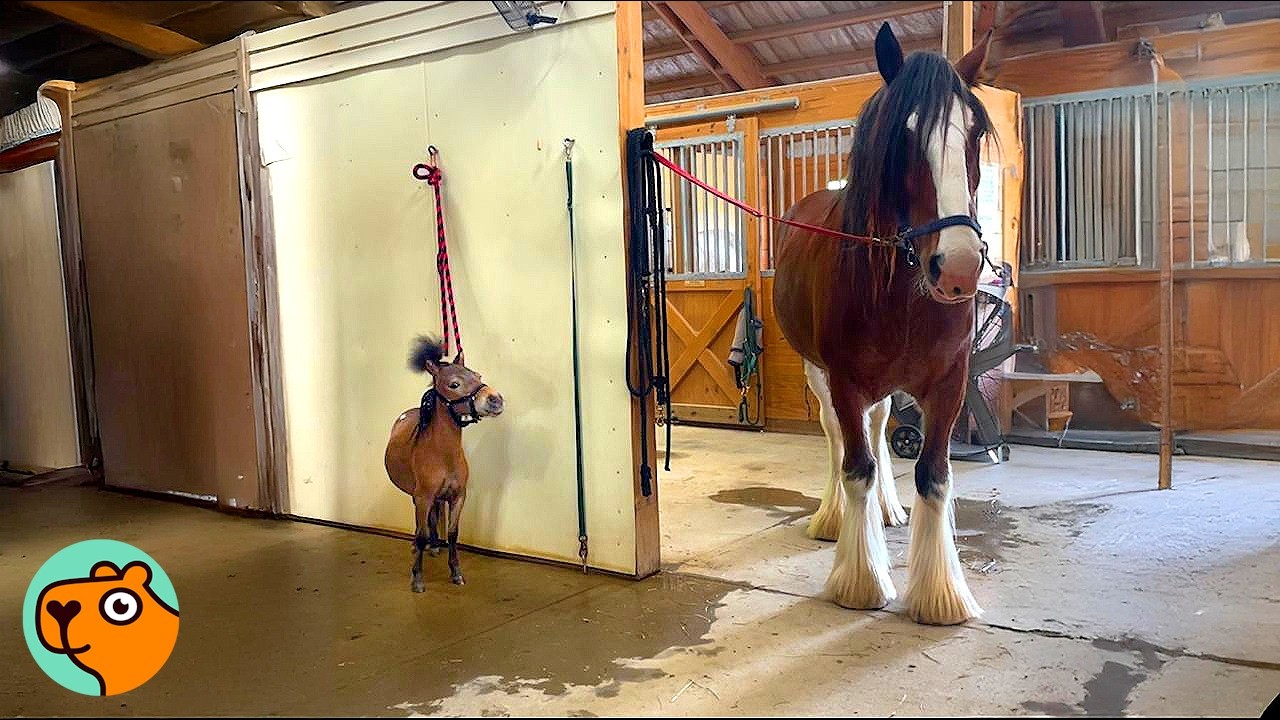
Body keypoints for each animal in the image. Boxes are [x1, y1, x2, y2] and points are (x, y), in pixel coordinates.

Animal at [385, 335, 504, 593]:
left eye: (477, 375)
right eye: (454, 384)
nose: (495, 400)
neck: (443, 455)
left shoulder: (458, 497)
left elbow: (452, 533)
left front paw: (456, 573)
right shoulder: (423, 497)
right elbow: (421, 534)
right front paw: (417, 578)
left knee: (434, 516)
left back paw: (434, 546)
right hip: (416, 496)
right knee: (421, 525)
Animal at [772, 23, 995, 626]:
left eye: (974, 132)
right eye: (905, 135)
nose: (958, 267)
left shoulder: (949, 384)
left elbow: (933, 474)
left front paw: (940, 594)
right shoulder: (844, 380)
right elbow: (856, 466)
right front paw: (861, 579)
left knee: (877, 430)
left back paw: (887, 512)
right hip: (818, 374)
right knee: (838, 441)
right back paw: (833, 519)